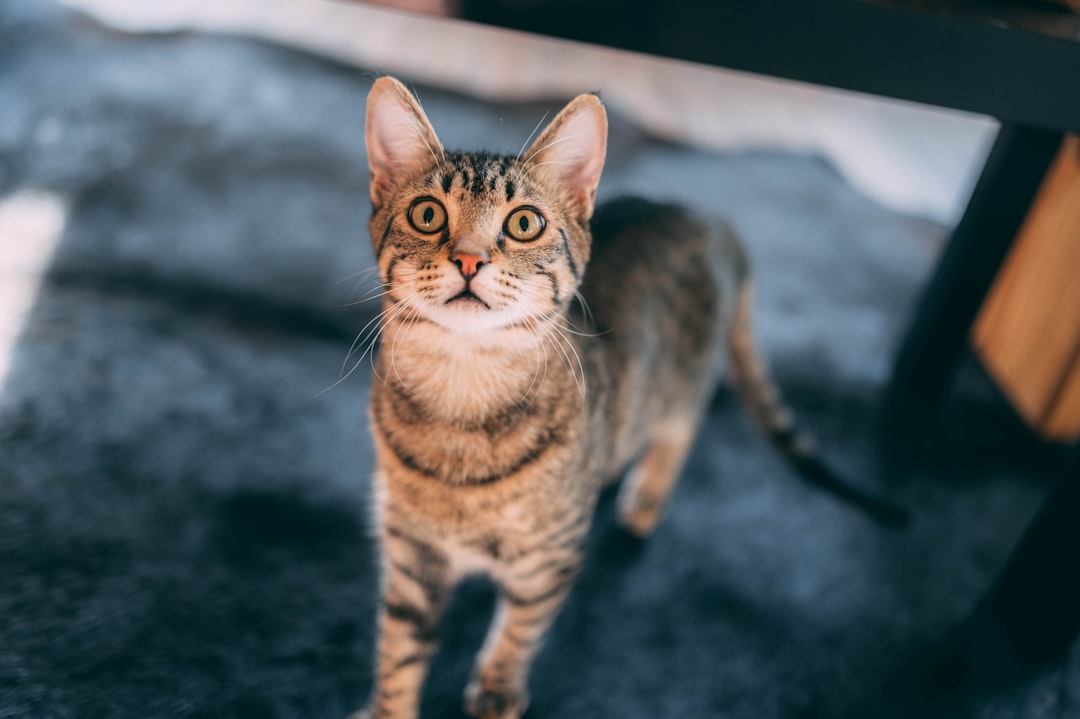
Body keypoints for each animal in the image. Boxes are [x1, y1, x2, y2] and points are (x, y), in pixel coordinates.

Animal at [349, 75, 898, 712]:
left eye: (525, 223)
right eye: (427, 213)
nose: (468, 259)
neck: (461, 404)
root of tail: (708, 217)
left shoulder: (550, 561)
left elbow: (520, 628)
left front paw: (497, 688)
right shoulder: (411, 555)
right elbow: (400, 652)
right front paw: (388, 707)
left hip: (683, 386)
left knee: (679, 432)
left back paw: (643, 500)